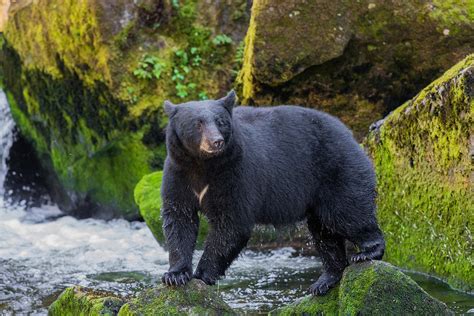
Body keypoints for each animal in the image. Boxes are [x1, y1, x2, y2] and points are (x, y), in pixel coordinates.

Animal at [161, 90, 384, 296]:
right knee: (324, 232)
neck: (203, 165)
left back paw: (367, 252)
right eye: (197, 123)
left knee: (347, 211)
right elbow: (179, 219)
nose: (216, 142)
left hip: (337, 169)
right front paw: (175, 275)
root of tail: (349, 133)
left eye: (220, 121)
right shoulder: (178, 174)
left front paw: (202, 274)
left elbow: (231, 224)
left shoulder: (236, 174)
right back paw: (325, 279)